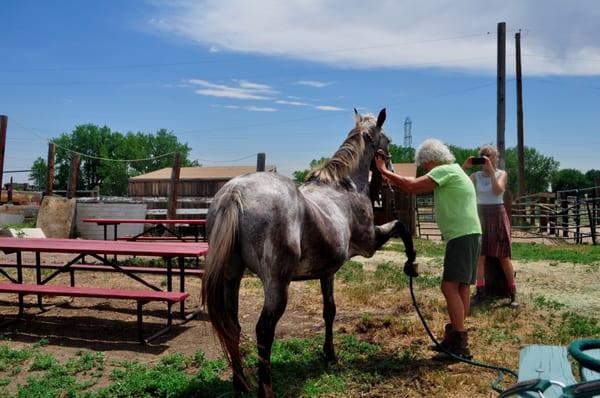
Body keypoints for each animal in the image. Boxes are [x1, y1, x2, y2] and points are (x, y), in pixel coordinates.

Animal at [204, 109, 414, 398]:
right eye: (389, 141)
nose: (391, 173)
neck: (344, 187)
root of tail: (236, 192)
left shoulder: (327, 272)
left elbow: (330, 311)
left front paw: (330, 355)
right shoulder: (370, 244)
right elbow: (401, 227)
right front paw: (412, 263)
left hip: (231, 278)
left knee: (232, 326)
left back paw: (241, 383)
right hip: (276, 285)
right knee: (263, 331)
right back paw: (265, 390)